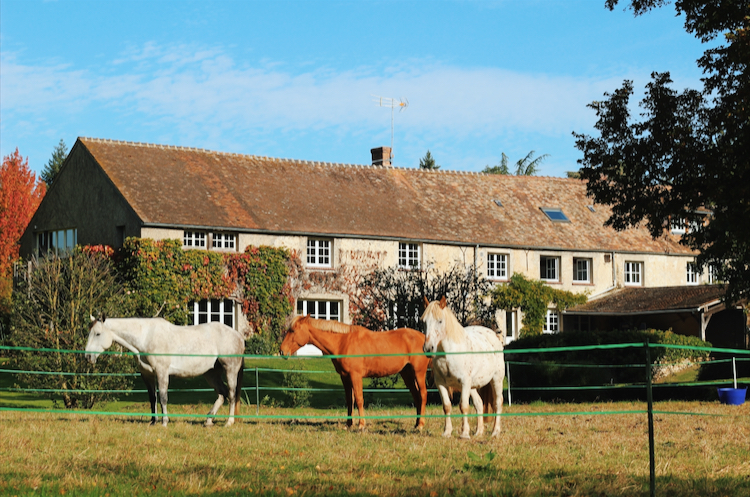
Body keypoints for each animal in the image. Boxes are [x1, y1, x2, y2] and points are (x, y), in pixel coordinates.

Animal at [85, 316, 245, 424]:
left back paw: (229, 422)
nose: (87, 356)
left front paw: (164, 422)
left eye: (98, 334)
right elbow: (152, 398)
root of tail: (239, 336)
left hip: (230, 370)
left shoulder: (162, 372)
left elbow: (163, 397)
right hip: (211, 374)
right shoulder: (147, 375)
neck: (146, 337)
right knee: (222, 394)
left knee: (231, 394)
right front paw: (153, 421)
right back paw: (208, 420)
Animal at [280, 316, 428, 428]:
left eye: (293, 330)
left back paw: (421, 425)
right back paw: (416, 424)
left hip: (419, 373)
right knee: (416, 396)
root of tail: (424, 338)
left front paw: (361, 425)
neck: (343, 342)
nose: (282, 351)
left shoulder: (355, 376)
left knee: (423, 394)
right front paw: (349, 424)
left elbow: (359, 399)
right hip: (407, 374)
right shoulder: (345, 377)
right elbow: (349, 400)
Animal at [424, 296, 506, 436]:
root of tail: (494, 335)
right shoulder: (441, 383)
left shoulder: (464, 382)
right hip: (472, 386)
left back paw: (495, 432)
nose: (428, 348)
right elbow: (447, 406)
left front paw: (464, 434)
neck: (448, 354)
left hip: (496, 380)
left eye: (440, 321)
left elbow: (464, 406)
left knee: (497, 402)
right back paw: (479, 432)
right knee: (479, 403)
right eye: (424, 321)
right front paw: (447, 432)